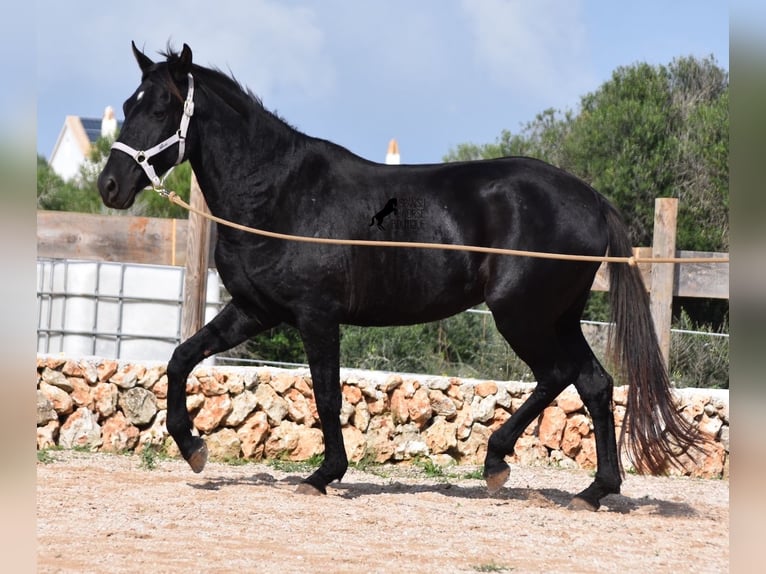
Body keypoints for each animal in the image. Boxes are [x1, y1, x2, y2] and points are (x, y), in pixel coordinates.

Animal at [99, 45, 700, 512]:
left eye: (160, 106)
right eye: (127, 105)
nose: (110, 185)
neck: (279, 193)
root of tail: (591, 198)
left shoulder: (316, 316)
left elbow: (326, 394)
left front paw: (323, 475)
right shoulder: (254, 310)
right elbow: (181, 358)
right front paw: (192, 447)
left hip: (522, 315)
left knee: (563, 376)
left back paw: (510, 466)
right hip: (555, 318)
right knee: (591, 382)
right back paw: (585, 487)